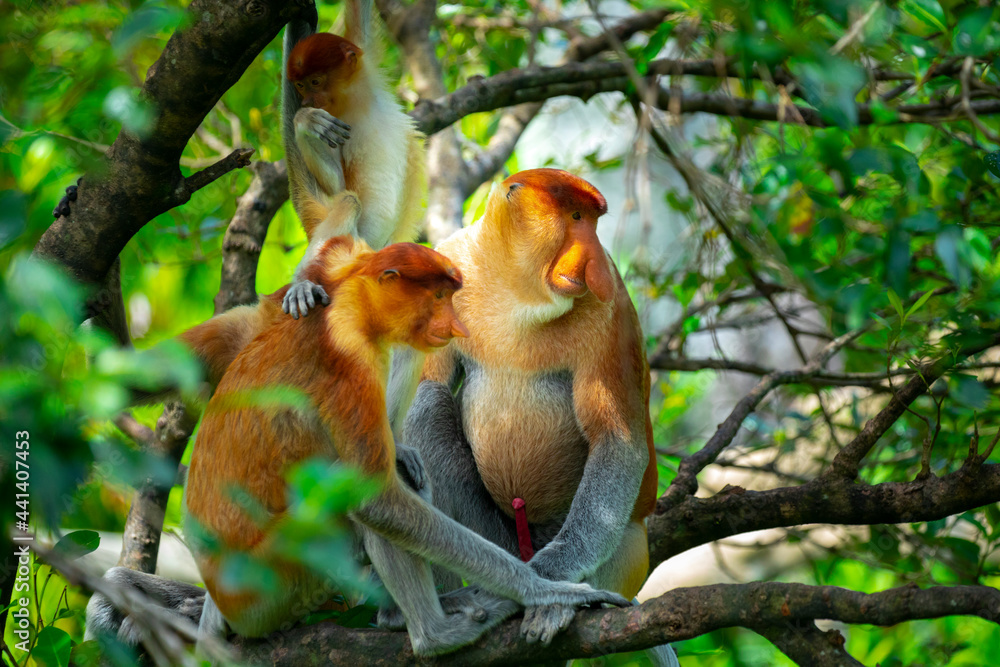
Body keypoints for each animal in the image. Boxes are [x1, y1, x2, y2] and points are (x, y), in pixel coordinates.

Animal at [280, 0, 426, 319]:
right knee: (348, 202)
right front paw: (306, 120)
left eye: (314, 81)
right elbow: (337, 186)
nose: (307, 102)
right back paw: (303, 282)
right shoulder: (336, 124)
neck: (353, 96)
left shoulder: (363, 55)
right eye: (299, 86)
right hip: (349, 246)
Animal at [398, 169, 679, 664]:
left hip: (627, 552)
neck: (519, 293)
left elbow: (616, 439)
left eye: (592, 222)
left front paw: (550, 588)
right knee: (428, 405)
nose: (593, 257)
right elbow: (426, 383)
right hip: (500, 537)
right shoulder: (452, 262)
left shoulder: (610, 306)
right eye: (576, 217)